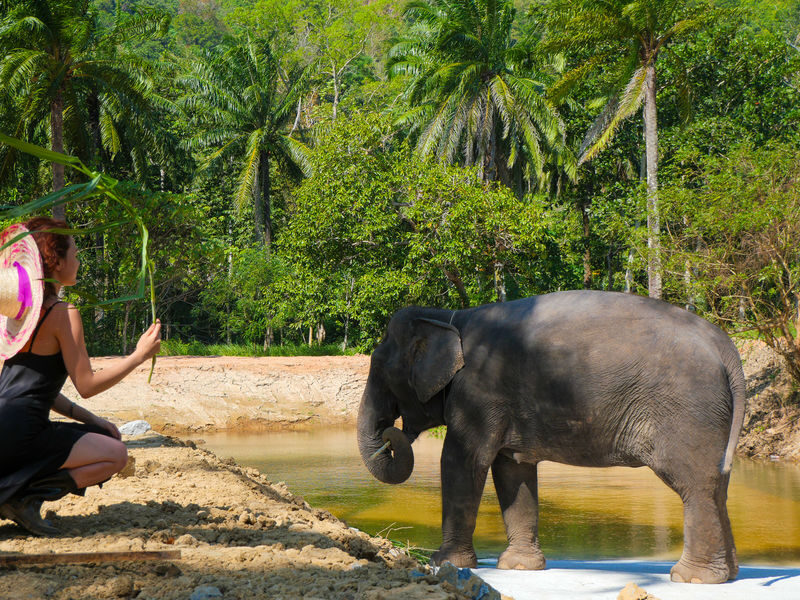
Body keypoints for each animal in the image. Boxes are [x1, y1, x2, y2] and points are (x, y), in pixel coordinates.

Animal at [357, 290, 745, 584]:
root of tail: (726, 348)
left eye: (380, 371)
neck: (449, 317)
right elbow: (512, 470)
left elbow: (462, 460)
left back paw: (692, 579)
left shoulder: (478, 393)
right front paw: (519, 567)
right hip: (711, 416)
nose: (391, 433)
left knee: (694, 486)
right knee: (718, 487)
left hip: (687, 410)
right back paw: (727, 575)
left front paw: (445, 562)